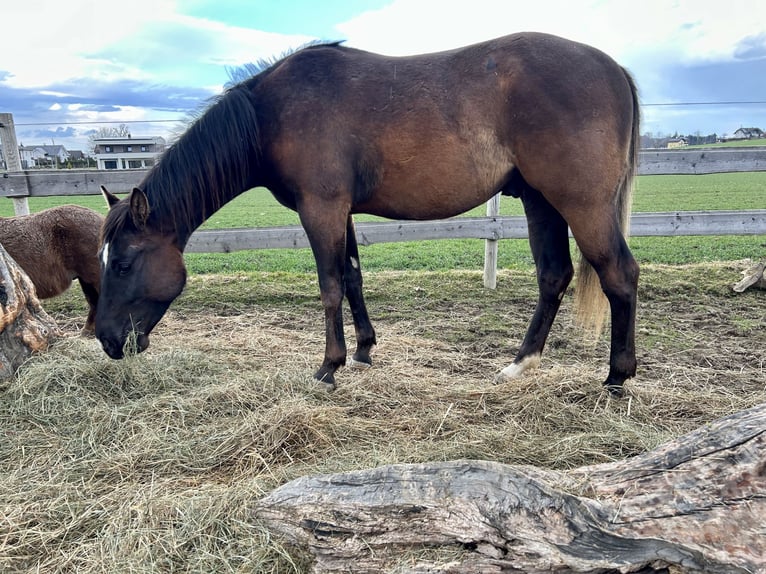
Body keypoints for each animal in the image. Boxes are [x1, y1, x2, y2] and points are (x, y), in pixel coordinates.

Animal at [94, 32, 640, 396]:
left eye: (122, 263)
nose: (106, 340)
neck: (270, 115)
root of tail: (612, 66)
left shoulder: (321, 209)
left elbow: (330, 285)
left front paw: (328, 367)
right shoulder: (343, 212)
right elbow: (353, 277)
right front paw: (362, 352)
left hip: (581, 204)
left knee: (619, 274)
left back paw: (617, 377)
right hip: (540, 201)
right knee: (554, 275)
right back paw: (520, 365)